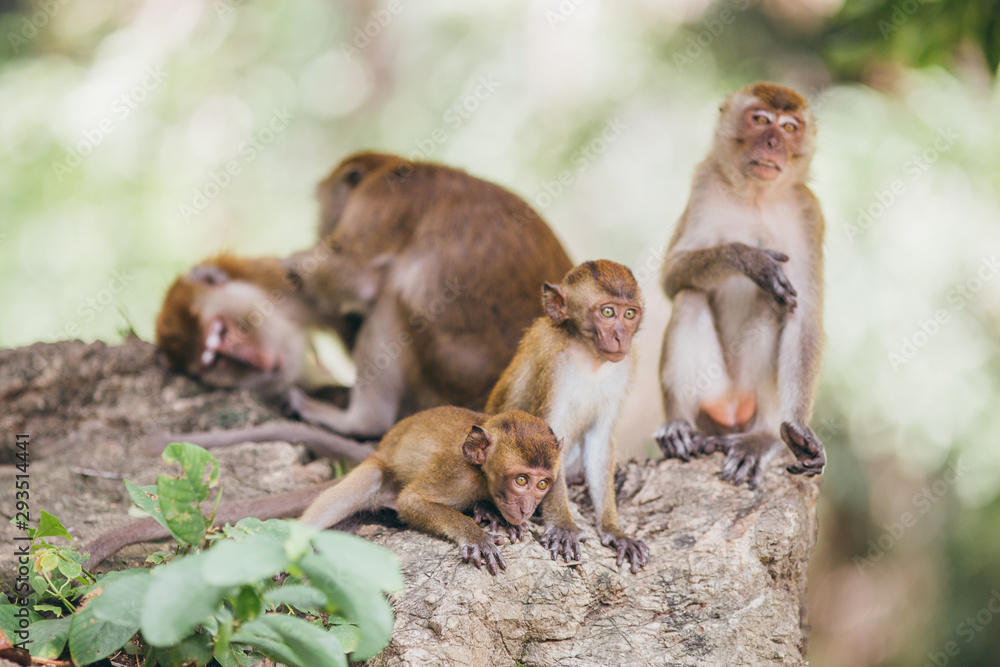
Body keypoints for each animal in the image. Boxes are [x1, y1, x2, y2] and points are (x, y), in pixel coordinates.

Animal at [84, 407, 561, 576]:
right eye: (521, 480)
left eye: (543, 483)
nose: (528, 507)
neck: (481, 475)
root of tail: (380, 445)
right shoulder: (456, 474)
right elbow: (412, 502)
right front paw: (475, 533)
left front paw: (492, 517)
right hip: (375, 472)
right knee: (356, 494)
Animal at [485, 260, 649, 574]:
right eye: (607, 312)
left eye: (629, 313)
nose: (621, 337)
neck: (590, 356)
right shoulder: (553, 362)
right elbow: (549, 436)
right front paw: (563, 525)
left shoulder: (624, 366)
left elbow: (599, 441)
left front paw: (614, 530)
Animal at [655, 81, 827, 489]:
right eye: (761, 120)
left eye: (789, 127)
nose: (772, 143)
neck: (756, 196)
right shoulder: (704, 183)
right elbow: (672, 276)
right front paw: (748, 258)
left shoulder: (809, 213)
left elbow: (804, 316)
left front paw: (799, 430)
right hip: (713, 395)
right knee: (689, 296)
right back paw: (679, 426)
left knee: (776, 303)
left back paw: (761, 437)